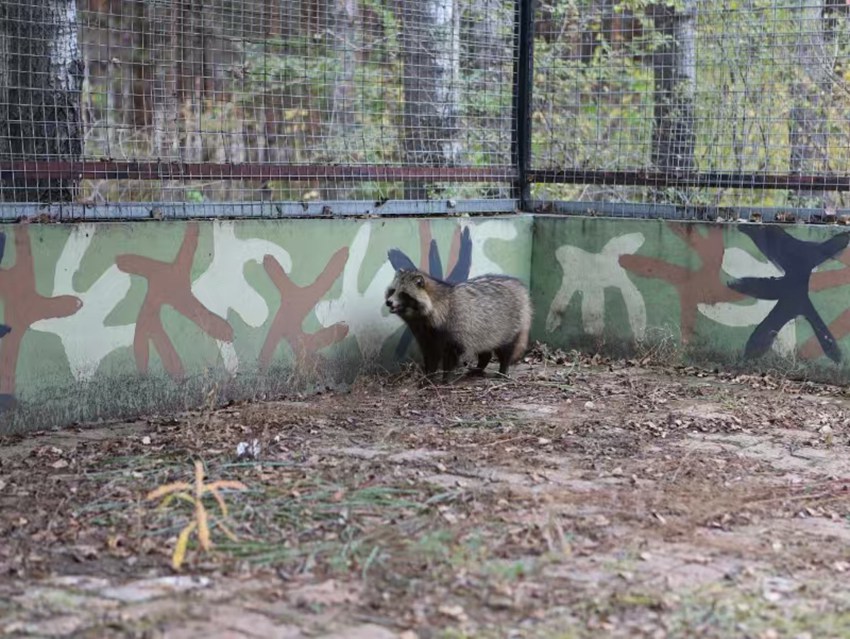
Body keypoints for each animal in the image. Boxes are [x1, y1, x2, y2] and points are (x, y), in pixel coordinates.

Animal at [384, 268, 528, 382]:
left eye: (403, 294)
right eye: (392, 291)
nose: (388, 302)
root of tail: (518, 285)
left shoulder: (454, 328)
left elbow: (451, 355)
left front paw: (446, 378)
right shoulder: (425, 333)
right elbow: (430, 354)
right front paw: (428, 376)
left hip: (506, 325)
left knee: (505, 349)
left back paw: (503, 369)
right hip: (483, 328)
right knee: (484, 348)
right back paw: (479, 367)